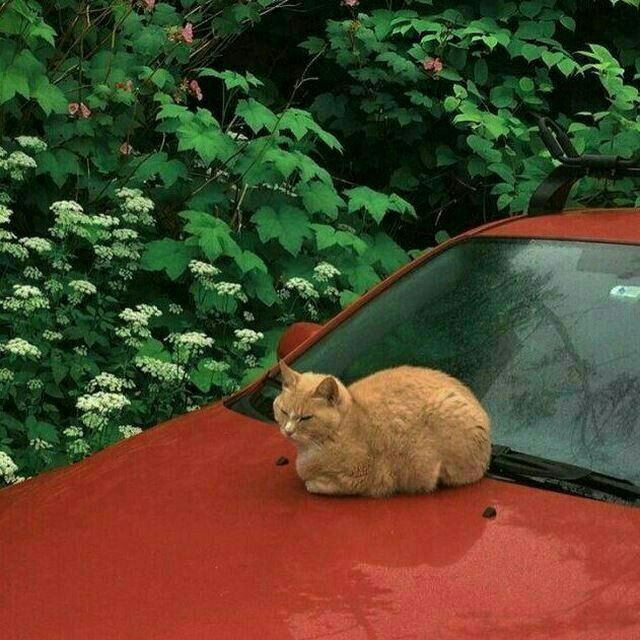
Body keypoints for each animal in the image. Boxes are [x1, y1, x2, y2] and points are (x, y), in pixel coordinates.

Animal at [274, 362, 490, 498]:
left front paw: (312, 482)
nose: (288, 430)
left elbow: (320, 484)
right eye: (283, 411)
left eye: (305, 418)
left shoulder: (361, 477)